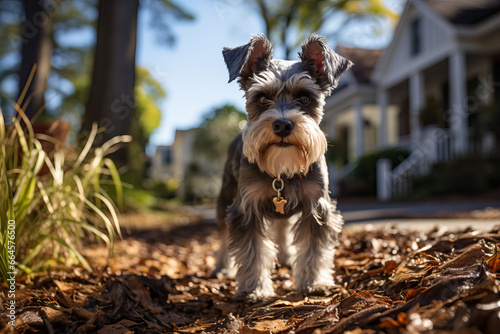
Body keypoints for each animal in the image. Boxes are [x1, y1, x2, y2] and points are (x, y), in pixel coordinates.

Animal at [214, 34, 352, 300]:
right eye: (261, 98)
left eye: (305, 98)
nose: (282, 125)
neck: (281, 171)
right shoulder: (245, 208)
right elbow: (252, 252)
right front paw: (255, 288)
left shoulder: (317, 207)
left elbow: (313, 250)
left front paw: (314, 282)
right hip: (225, 197)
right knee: (224, 234)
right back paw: (222, 266)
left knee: (282, 227)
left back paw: (287, 257)